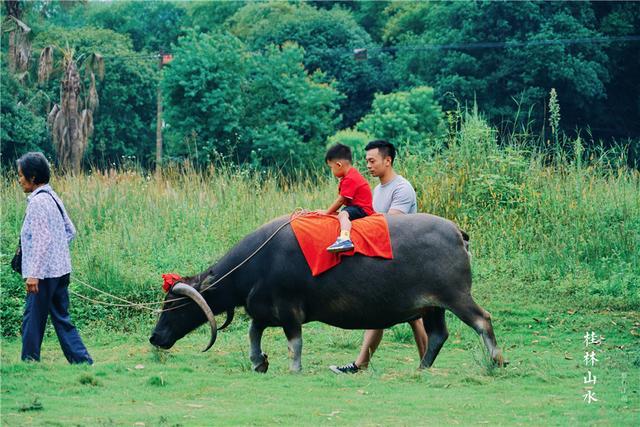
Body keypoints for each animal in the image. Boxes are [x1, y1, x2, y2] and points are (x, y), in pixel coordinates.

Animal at [151, 216, 504, 372]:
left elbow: (294, 342)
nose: (155, 337)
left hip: (457, 297)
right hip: (434, 306)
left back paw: (496, 360)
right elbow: (254, 334)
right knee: (438, 335)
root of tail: (458, 233)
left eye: (174, 304)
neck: (257, 263)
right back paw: (422, 367)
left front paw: (293, 369)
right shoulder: (263, 309)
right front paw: (259, 362)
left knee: (482, 320)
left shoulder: (289, 310)